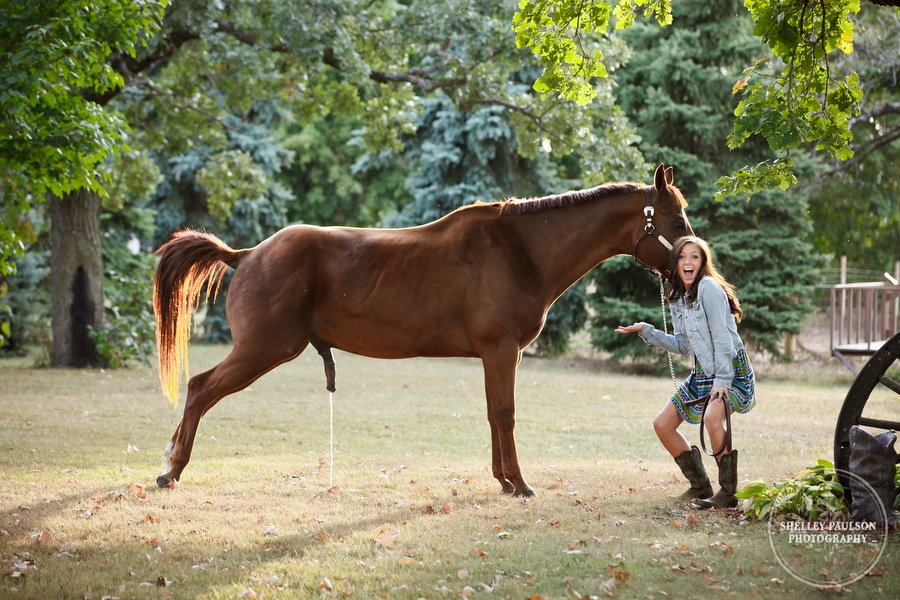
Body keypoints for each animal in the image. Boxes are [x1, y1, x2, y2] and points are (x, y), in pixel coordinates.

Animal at [153, 163, 688, 492]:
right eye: (677, 221)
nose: (693, 263)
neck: (519, 249)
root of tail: (246, 255)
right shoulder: (500, 350)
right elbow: (505, 414)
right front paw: (518, 483)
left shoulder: (498, 356)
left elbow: (493, 414)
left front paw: (502, 479)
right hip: (263, 349)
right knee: (201, 388)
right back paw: (172, 468)